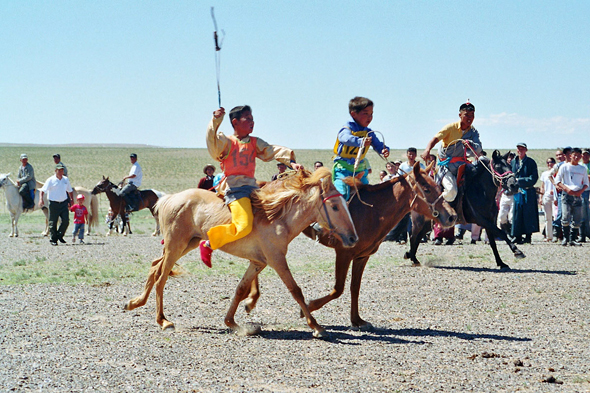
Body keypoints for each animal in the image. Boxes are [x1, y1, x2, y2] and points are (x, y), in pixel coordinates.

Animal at [123, 167, 360, 338]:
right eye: (335, 206)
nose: (353, 238)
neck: (277, 218)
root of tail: (168, 199)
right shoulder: (276, 259)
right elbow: (295, 290)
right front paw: (316, 326)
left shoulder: (258, 262)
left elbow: (241, 290)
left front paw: (233, 323)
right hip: (176, 245)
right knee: (161, 277)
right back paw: (163, 320)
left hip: (187, 243)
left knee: (155, 266)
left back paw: (134, 303)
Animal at [245, 161, 458, 330]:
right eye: (427, 189)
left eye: (439, 187)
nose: (451, 216)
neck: (372, 212)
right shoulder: (344, 253)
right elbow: (338, 289)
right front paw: (308, 308)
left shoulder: (362, 256)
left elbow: (355, 287)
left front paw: (357, 320)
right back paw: (251, 298)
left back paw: (250, 297)